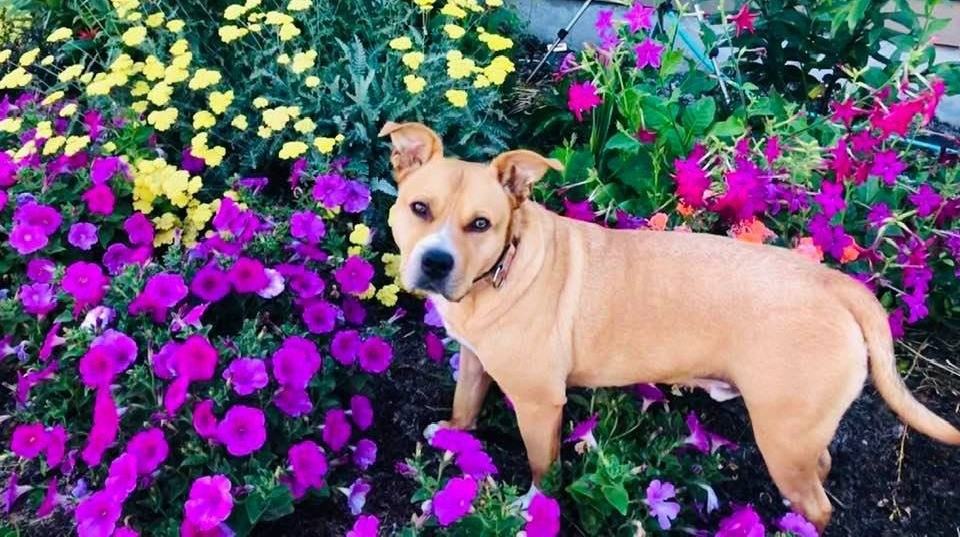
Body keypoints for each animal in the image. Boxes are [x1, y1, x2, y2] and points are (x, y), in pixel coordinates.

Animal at [380, 120, 960, 528]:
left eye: (481, 224)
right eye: (419, 208)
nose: (435, 263)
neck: (501, 266)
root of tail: (836, 284)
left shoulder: (540, 403)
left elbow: (542, 468)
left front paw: (531, 508)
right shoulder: (475, 357)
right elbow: (467, 401)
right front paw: (453, 433)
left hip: (781, 437)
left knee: (819, 507)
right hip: (799, 433)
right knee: (820, 469)